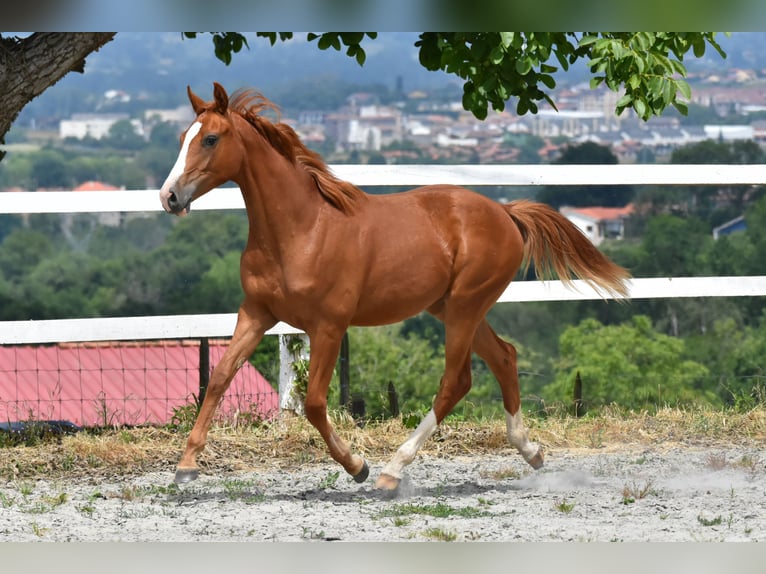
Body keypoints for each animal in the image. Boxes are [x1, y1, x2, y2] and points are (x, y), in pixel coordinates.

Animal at [159, 82, 631, 490]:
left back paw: (391, 472)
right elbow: (219, 378)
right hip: (451, 307)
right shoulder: (257, 313)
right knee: (504, 357)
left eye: (211, 139)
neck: (300, 230)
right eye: (183, 136)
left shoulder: (329, 326)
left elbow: (314, 403)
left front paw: (357, 466)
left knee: (455, 381)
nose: (169, 197)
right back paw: (531, 451)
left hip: (465, 306)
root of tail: (505, 212)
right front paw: (186, 465)